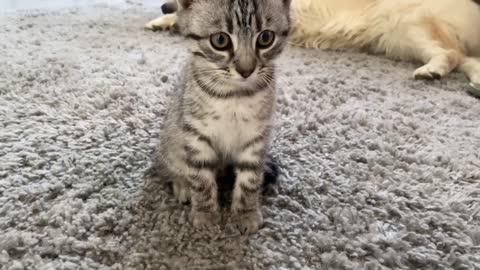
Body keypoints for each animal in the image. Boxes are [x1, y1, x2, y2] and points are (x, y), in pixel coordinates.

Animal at [145, 0, 480, 84]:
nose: (162, 6)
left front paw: (169, 20)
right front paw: (165, 21)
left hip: (410, 25)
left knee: (452, 54)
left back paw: (433, 70)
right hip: (401, 41)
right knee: (466, 59)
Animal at [150, 0, 290, 233]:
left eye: (266, 38)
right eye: (220, 40)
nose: (246, 70)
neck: (235, 95)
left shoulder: (256, 136)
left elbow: (250, 179)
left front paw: (245, 213)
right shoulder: (196, 135)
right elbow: (201, 178)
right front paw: (205, 214)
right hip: (171, 141)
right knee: (166, 168)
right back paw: (182, 184)